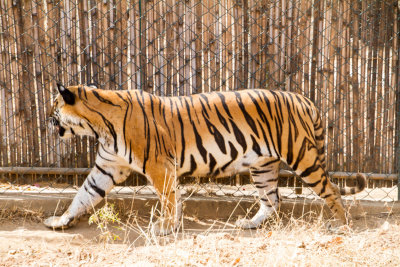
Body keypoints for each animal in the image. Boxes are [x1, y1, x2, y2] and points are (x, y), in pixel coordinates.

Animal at [43, 83, 366, 234]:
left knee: (331, 190)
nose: (45, 118)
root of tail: (304, 98)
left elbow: (169, 199)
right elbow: (83, 195)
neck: (98, 126)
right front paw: (60, 220)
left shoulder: (159, 167)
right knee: (273, 199)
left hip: (301, 156)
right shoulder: (107, 167)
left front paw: (166, 227)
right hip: (263, 167)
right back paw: (249, 224)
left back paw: (341, 226)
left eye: (54, 105)